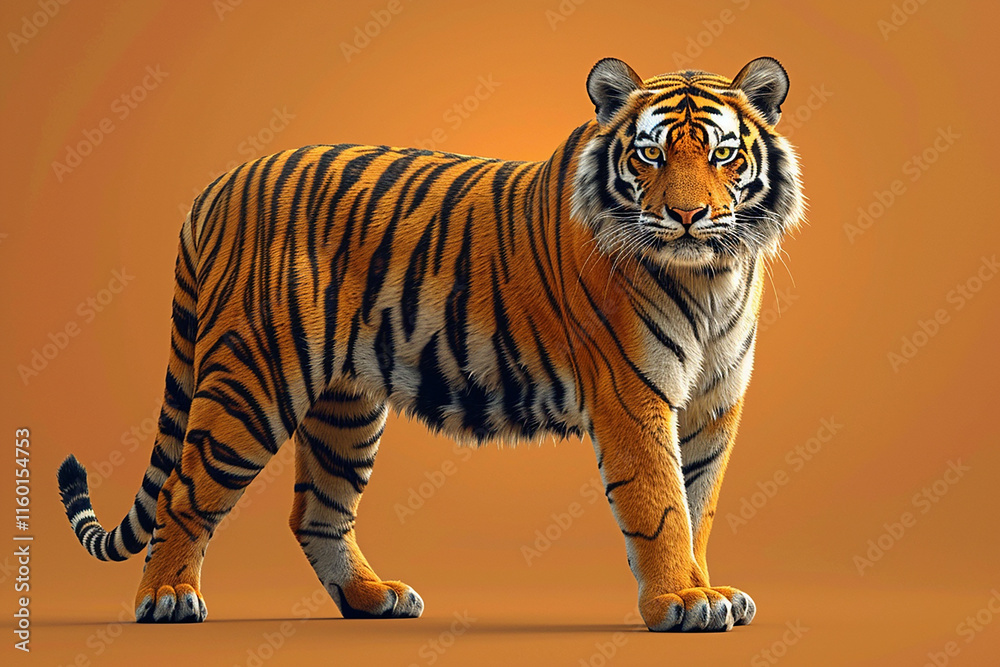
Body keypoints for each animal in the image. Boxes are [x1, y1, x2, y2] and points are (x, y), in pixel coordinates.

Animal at [58, 56, 803, 632]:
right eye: (650, 153)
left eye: (723, 153)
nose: (689, 216)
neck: (711, 278)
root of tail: (217, 186)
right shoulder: (632, 395)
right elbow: (662, 504)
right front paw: (681, 600)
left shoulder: (713, 402)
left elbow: (699, 503)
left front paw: (707, 588)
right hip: (250, 381)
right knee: (183, 490)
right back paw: (166, 598)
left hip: (346, 405)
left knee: (316, 511)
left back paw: (372, 597)